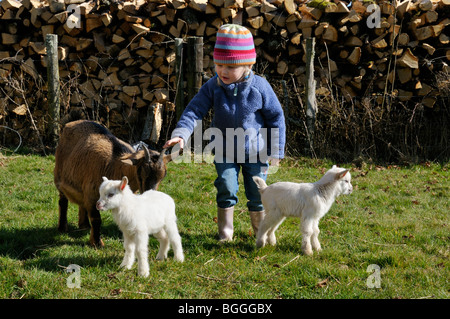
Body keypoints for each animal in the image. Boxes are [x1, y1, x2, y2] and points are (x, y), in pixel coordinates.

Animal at [52, 120, 172, 248]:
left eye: (163, 176)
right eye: (141, 173)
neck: (114, 165)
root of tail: (69, 124)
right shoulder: (92, 195)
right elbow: (96, 219)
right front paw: (97, 243)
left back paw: (84, 225)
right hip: (59, 177)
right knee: (63, 201)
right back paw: (62, 228)